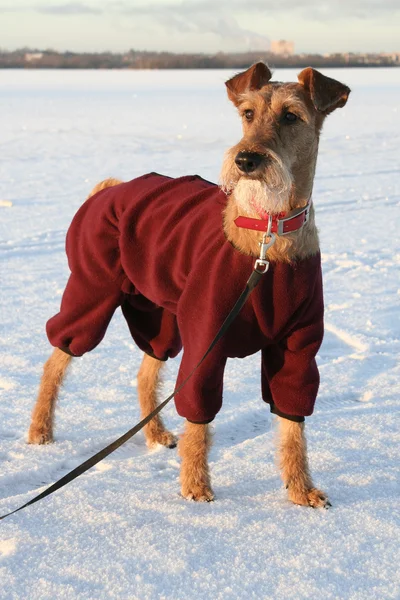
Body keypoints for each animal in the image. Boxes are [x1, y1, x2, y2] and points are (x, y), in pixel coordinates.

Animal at [27, 64, 350, 506]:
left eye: (290, 116)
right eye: (247, 113)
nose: (246, 159)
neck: (270, 233)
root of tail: (109, 188)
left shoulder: (297, 347)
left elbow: (292, 425)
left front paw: (301, 489)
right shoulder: (206, 337)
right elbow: (198, 415)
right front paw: (196, 486)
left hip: (160, 315)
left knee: (146, 372)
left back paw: (156, 433)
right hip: (91, 294)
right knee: (56, 359)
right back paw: (40, 429)